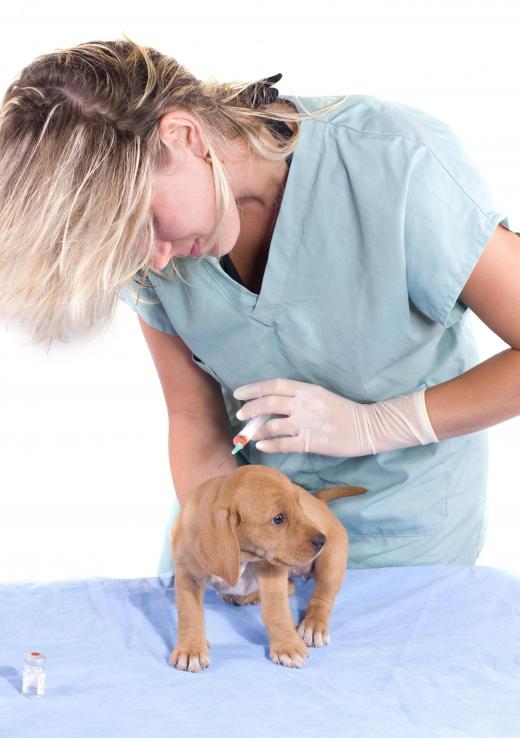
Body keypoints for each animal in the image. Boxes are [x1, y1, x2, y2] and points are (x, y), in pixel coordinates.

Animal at [170, 462, 366, 668]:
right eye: (278, 518)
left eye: (299, 505)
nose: (322, 540)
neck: (244, 555)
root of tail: (319, 502)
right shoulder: (187, 578)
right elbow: (189, 613)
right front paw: (191, 649)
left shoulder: (272, 571)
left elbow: (276, 611)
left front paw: (287, 646)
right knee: (291, 587)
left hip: (331, 565)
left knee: (321, 598)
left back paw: (313, 626)